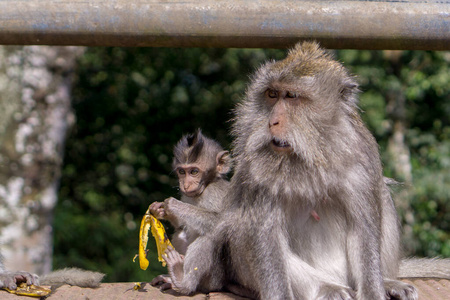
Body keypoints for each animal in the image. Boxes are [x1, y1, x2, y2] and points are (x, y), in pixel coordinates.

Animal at [163, 42, 422, 300]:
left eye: (291, 96)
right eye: (272, 94)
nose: (272, 122)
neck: (310, 155)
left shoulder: (362, 157)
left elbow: (363, 228)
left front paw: (374, 290)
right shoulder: (257, 171)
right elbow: (264, 233)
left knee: (382, 193)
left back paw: (387, 281)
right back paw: (326, 288)